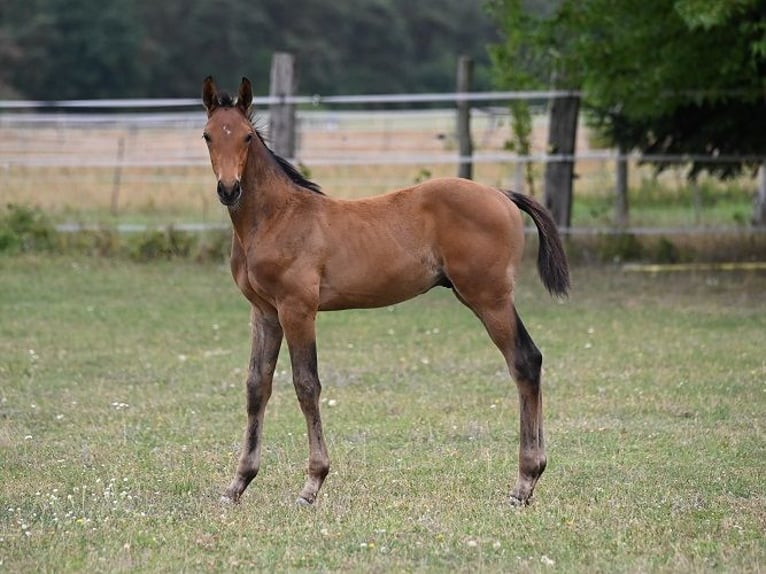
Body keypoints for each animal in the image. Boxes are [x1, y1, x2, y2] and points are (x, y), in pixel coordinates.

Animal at [201, 76, 570, 507]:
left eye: (246, 136)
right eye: (208, 135)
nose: (229, 189)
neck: (277, 217)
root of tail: (501, 194)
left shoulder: (298, 309)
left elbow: (306, 384)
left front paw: (312, 484)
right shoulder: (265, 313)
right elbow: (256, 387)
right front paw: (238, 483)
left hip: (489, 298)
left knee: (524, 361)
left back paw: (524, 482)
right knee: (532, 360)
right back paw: (532, 476)